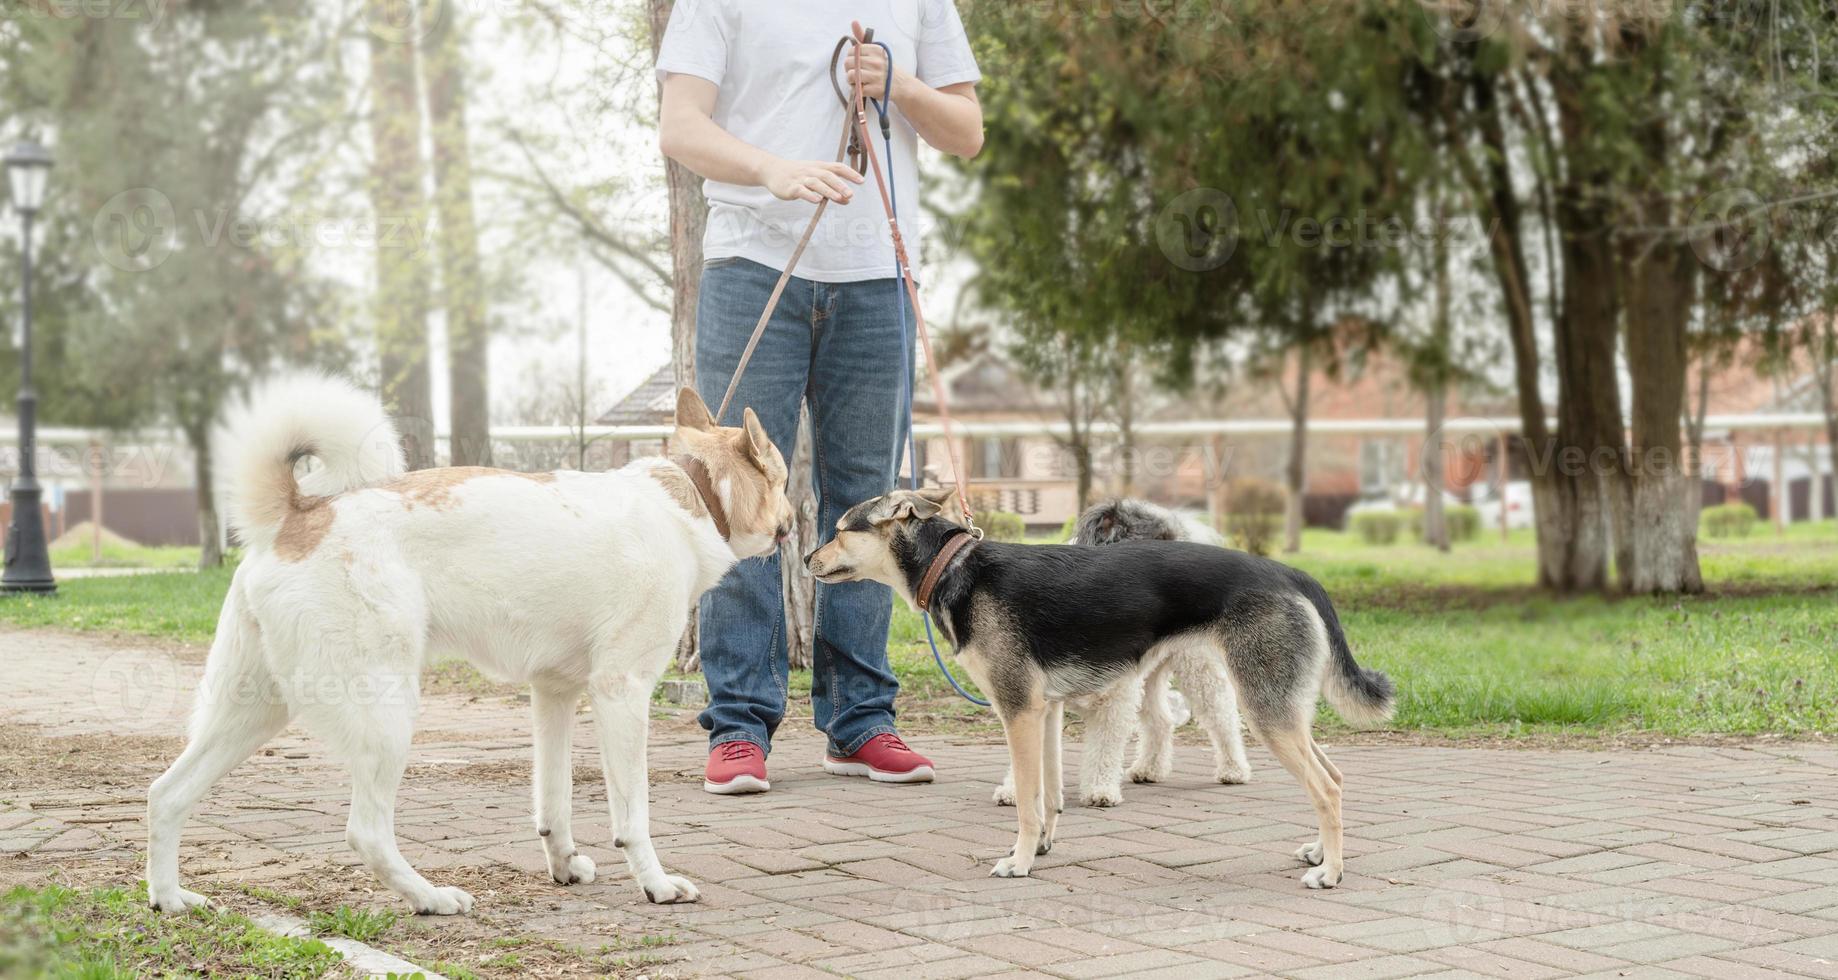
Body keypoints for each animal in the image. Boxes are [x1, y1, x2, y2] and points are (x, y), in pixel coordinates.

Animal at [147, 373, 794, 908]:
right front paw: (656, 884)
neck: (697, 495)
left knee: (165, 794)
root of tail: (301, 513)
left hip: (252, 714)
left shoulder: (554, 696)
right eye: (785, 479)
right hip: (386, 715)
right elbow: (634, 817)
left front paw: (564, 865)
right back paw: (430, 898)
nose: (795, 521)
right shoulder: (622, 693)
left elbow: (553, 803)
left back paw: (171, 901)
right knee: (366, 831)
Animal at [999, 500, 1257, 805]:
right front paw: (1014, 790)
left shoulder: (1116, 698)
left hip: (1197, 670)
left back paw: (1234, 769)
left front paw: (1100, 789)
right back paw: (1150, 769)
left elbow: (1104, 748)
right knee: (1161, 721)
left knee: (1222, 716)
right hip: (1149, 680)